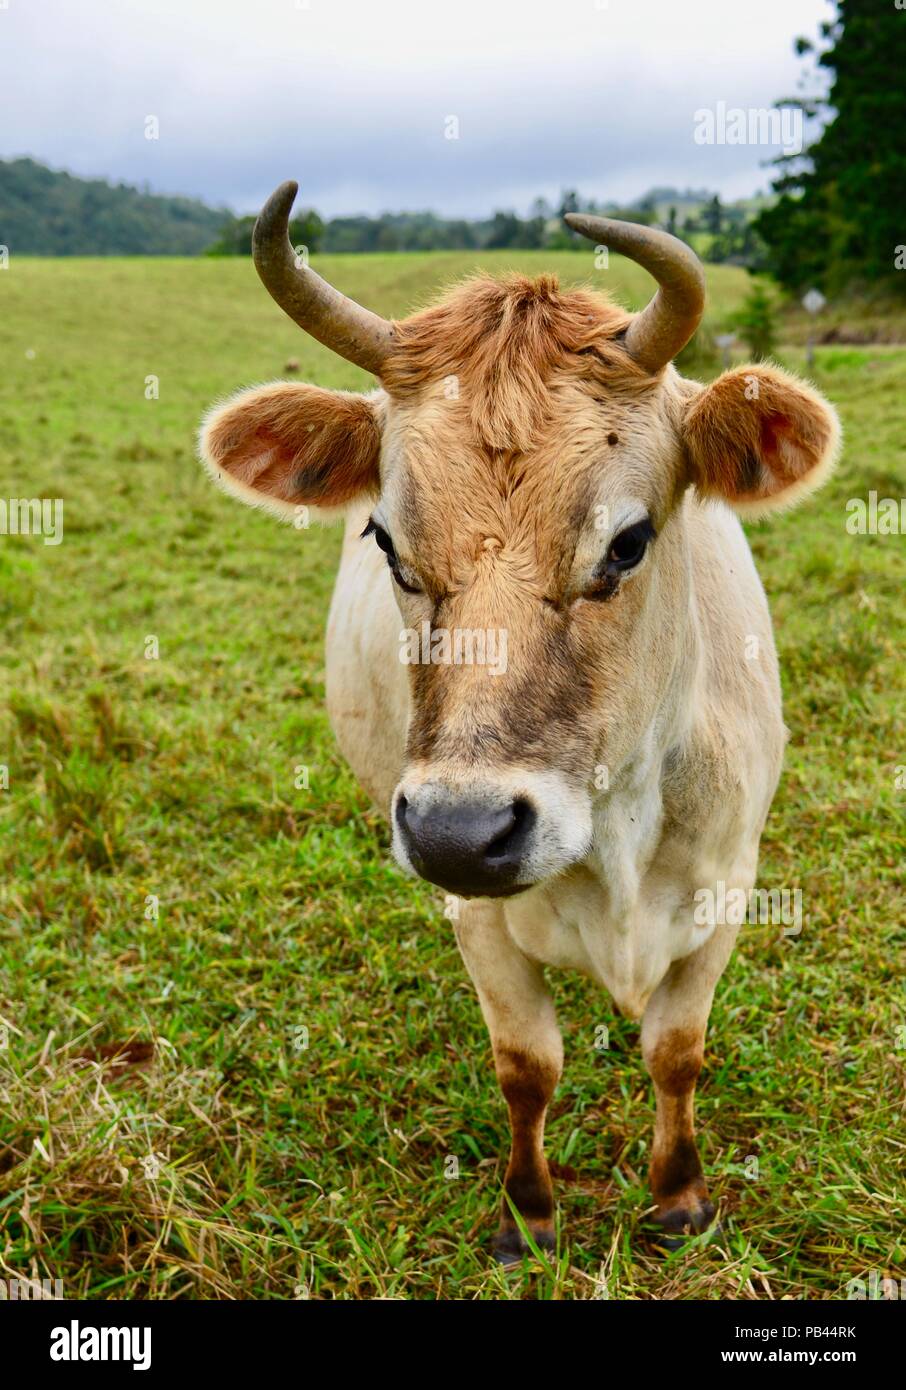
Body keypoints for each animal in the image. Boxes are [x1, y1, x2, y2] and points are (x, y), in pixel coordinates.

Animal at [200, 182, 844, 1262]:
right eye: (387, 540)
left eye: (627, 542)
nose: (460, 831)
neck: (618, 825)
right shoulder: (481, 920)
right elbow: (526, 1065)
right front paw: (529, 1215)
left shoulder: (728, 890)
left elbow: (678, 1051)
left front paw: (679, 1197)